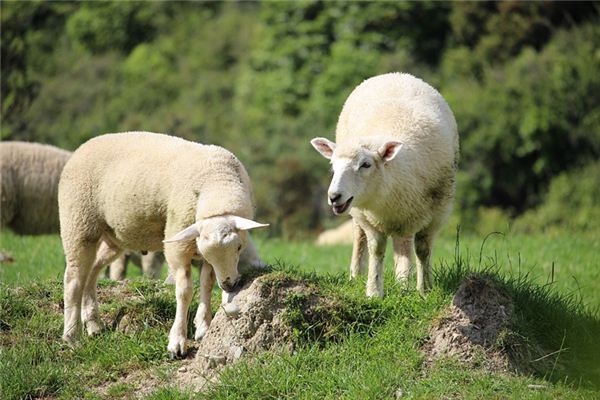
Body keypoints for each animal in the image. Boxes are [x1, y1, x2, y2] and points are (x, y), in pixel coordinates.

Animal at [57, 132, 268, 360]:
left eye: (238, 247)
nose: (229, 286)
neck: (217, 179)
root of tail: (82, 148)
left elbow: (207, 283)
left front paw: (203, 326)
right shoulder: (178, 244)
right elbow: (184, 291)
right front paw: (177, 341)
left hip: (113, 236)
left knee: (92, 270)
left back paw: (93, 324)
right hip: (78, 222)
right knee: (74, 278)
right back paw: (72, 337)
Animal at [310, 72, 460, 296]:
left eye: (366, 164)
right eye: (333, 165)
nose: (334, 196)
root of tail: (394, 74)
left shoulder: (434, 214)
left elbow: (422, 250)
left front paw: (423, 290)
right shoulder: (369, 218)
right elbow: (376, 249)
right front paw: (374, 291)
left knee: (403, 246)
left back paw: (402, 282)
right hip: (361, 215)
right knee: (360, 239)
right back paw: (357, 276)